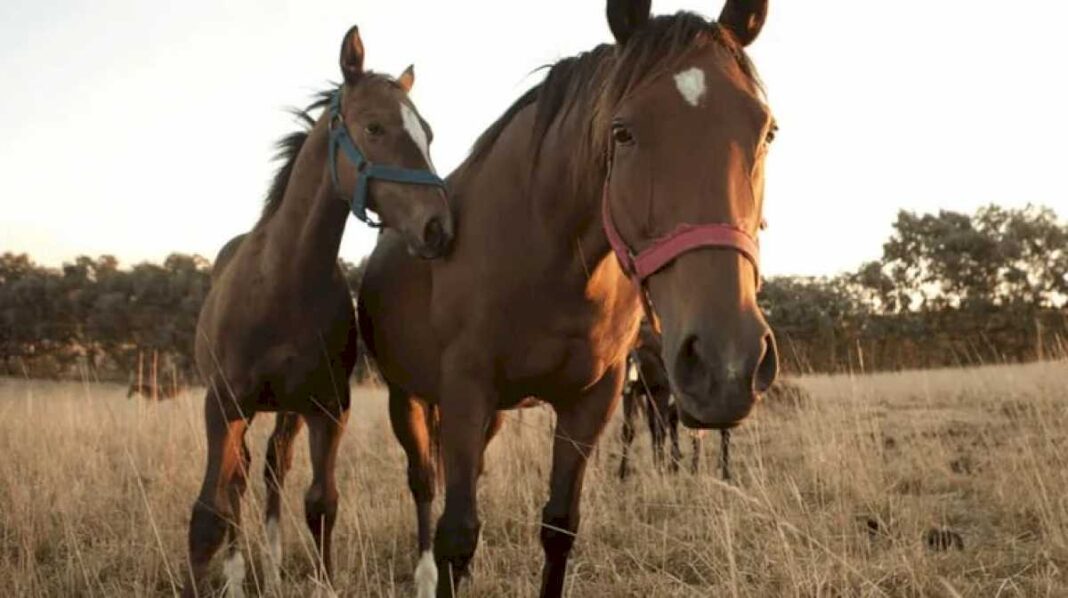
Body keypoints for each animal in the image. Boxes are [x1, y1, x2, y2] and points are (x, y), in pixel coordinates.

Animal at [183, 25, 450, 598]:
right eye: (374, 127)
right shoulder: (222, 406)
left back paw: (272, 563)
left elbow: (321, 503)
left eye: (428, 134)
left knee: (272, 468)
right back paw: (240, 572)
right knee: (239, 483)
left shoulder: (328, 408)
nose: (439, 227)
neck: (283, 283)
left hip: (287, 411)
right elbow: (210, 512)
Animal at [358, 3, 777, 593]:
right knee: (423, 485)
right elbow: (456, 534)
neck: (544, 256)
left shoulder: (591, 400)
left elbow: (559, 527)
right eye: (622, 132)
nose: (727, 364)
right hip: (410, 399)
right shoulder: (464, 391)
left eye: (767, 131)